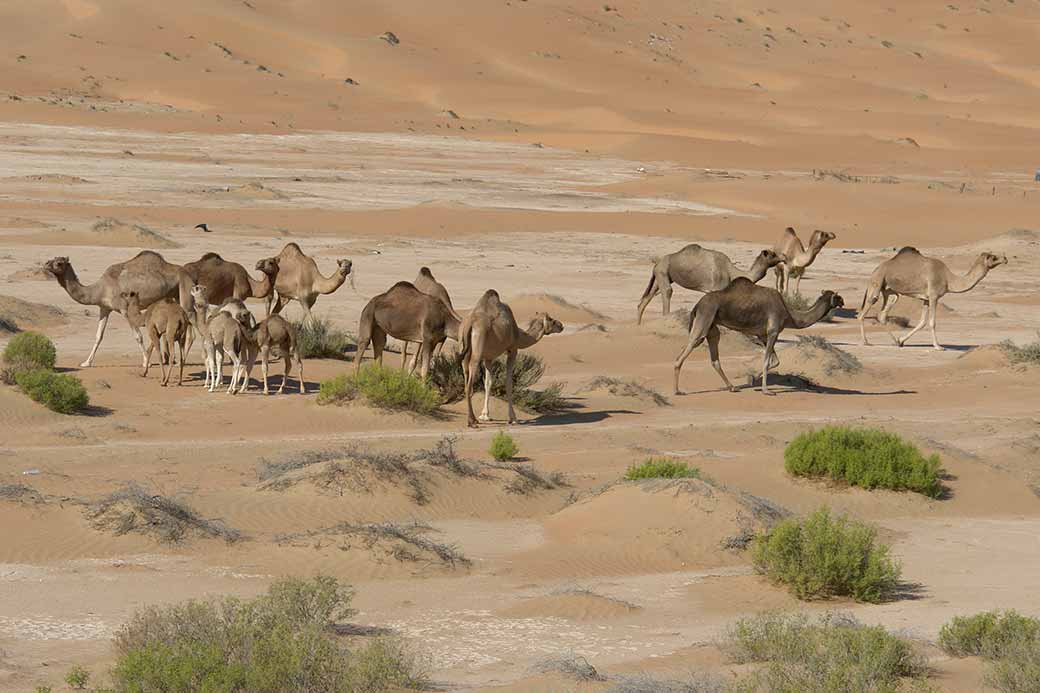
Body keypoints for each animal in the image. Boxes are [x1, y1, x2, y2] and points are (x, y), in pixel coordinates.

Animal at [43, 252, 193, 367]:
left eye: (59, 263)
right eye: (52, 259)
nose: (45, 264)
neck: (100, 289)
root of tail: (185, 271)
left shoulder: (125, 309)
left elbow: (138, 336)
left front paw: (147, 362)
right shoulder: (104, 308)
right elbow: (98, 336)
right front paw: (86, 362)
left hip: (184, 287)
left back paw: (181, 361)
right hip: (173, 295)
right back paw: (174, 360)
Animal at [460, 290, 564, 427]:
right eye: (551, 319)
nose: (561, 325)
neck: (519, 335)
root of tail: (470, 324)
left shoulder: (488, 357)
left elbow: (488, 382)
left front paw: (485, 415)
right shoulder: (513, 350)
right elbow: (508, 382)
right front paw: (513, 418)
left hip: (464, 350)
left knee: (465, 373)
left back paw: (474, 419)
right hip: (477, 350)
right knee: (469, 384)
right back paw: (471, 421)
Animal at [636, 246, 782, 324]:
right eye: (773, 254)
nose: (784, 257)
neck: (731, 272)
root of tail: (657, 263)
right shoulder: (716, 287)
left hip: (660, 275)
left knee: (647, 297)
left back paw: (638, 326)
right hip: (663, 271)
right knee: (667, 291)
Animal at [673, 278, 844, 396]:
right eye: (837, 297)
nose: (843, 301)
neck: (790, 315)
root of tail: (697, 305)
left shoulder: (762, 335)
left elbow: (775, 361)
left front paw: (751, 379)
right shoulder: (773, 331)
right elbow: (767, 361)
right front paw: (766, 391)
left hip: (712, 326)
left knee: (714, 354)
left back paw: (732, 387)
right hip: (706, 316)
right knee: (687, 349)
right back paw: (677, 391)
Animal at [859, 247, 1007, 350]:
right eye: (994, 257)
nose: (1005, 258)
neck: (948, 279)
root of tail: (875, 270)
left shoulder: (926, 298)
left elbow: (922, 322)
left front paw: (901, 340)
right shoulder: (934, 296)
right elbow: (932, 322)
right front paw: (938, 346)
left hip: (890, 292)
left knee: (882, 314)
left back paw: (895, 342)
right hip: (876, 284)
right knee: (862, 313)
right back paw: (866, 342)